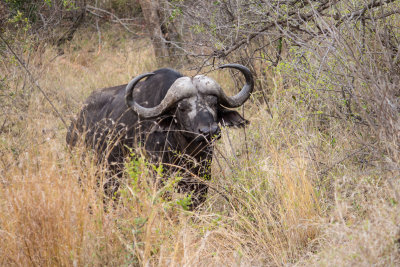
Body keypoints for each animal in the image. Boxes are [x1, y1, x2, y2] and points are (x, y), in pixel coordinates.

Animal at [65, 64, 253, 209]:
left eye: (214, 103)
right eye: (182, 107)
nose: (209, 131)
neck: (184, 148)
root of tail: (75, 124)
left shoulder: (201, 179)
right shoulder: (157, 177)